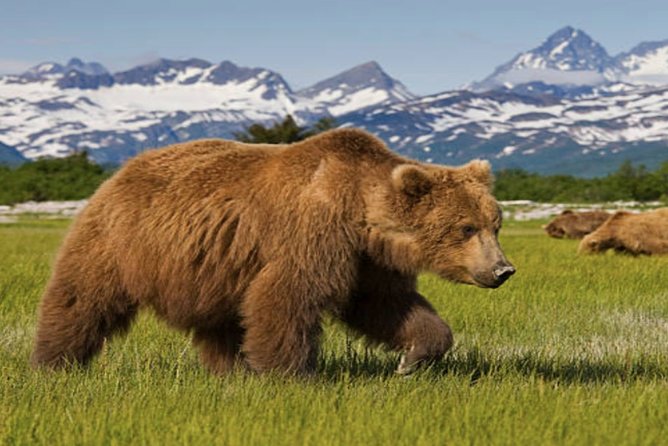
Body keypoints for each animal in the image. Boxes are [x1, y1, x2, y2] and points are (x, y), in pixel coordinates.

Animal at [31, 128, 515, 376]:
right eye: (466, 227)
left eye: (495, 223)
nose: (502, 269)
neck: (359, 211)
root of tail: (122, 170)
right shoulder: (313, 233)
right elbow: (288, 296)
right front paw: (292, 375)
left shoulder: (367, 260)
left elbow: (387, 306)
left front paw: (413, 358)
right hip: (119, 240)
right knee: (82, 296)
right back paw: (54, 362)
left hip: (213, 266)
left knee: (221, 321)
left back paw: (231, 369)